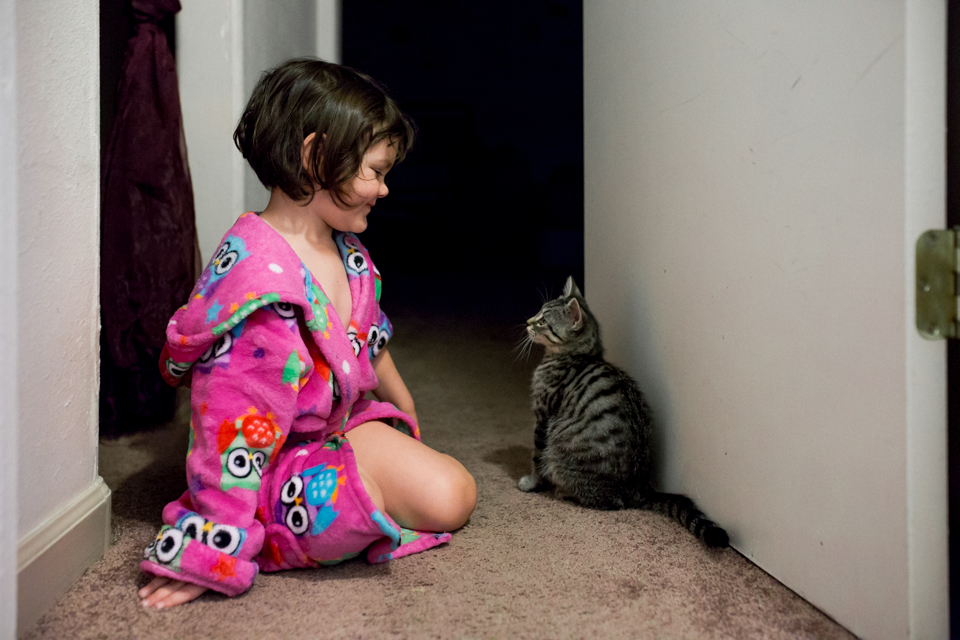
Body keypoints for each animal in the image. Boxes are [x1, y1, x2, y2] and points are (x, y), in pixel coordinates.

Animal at [516, 278, 728, 548]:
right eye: (538, 312)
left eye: (543, 321)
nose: (527, 321)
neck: (576, 356)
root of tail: (639, 487)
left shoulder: (543, 417)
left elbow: (536, 458)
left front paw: (531, 484)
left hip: (561, 455)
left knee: (610, 502)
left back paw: (564, 491)